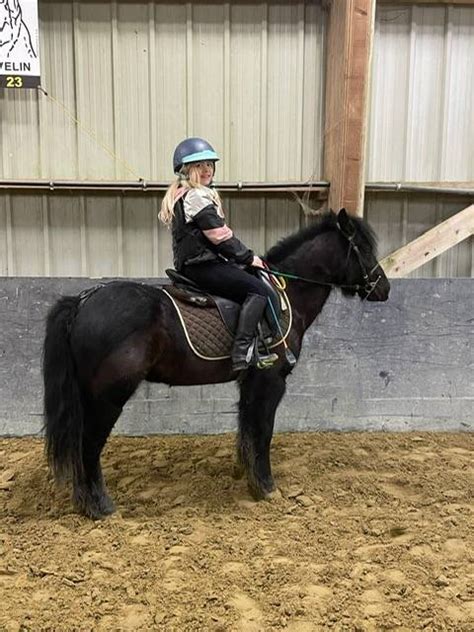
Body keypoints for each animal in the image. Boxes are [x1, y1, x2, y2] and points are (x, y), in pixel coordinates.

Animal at [43, 210, 388, 516]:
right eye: (364, 249)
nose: (383, 288)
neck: (284, 295)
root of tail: (82, 301)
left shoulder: (250, 381)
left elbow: (247, 429)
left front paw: (248, 478)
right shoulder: (271, 381)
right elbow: (263, 431)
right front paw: (266, 487)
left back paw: (84, 501)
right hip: (108, 398)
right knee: (89, 446)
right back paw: (100, 507)